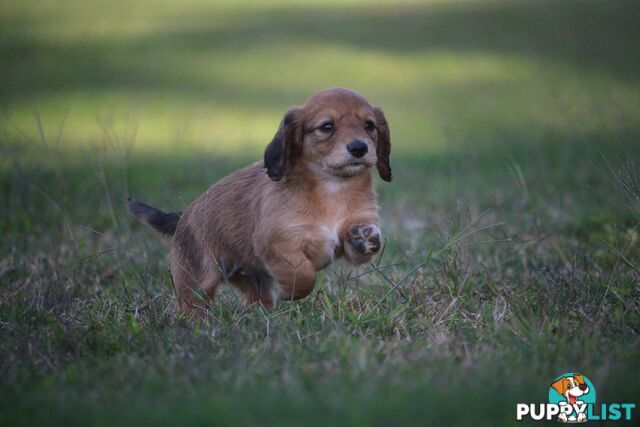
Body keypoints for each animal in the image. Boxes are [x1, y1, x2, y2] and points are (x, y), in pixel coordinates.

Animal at [129, 88, 390, 314]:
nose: (359, 148)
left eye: (369, 125)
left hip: (250, 277)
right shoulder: (277, 242)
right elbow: (303, 273)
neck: (332, 189)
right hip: (197, 278)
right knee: (193, 303)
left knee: (257, 299)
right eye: (327, 126)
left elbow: (357, 245)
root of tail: (183, 215)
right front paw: (291, 291)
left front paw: (364, 237)